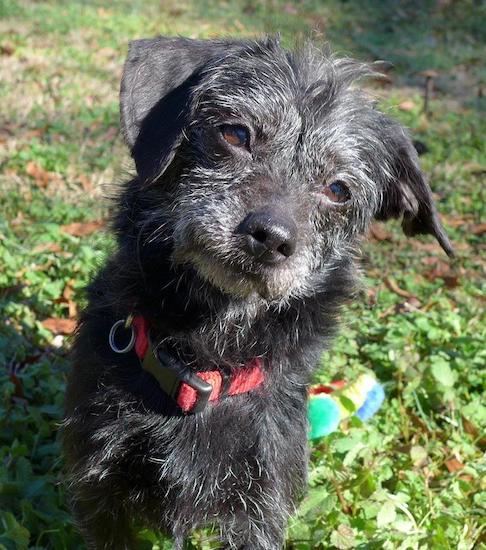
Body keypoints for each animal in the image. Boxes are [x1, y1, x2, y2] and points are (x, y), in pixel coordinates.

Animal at [62, 36, 454, 548]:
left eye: (339, 190)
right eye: (236, 134)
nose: (271, 237)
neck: (207, 358)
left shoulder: (259, 508)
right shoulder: (98, 490)